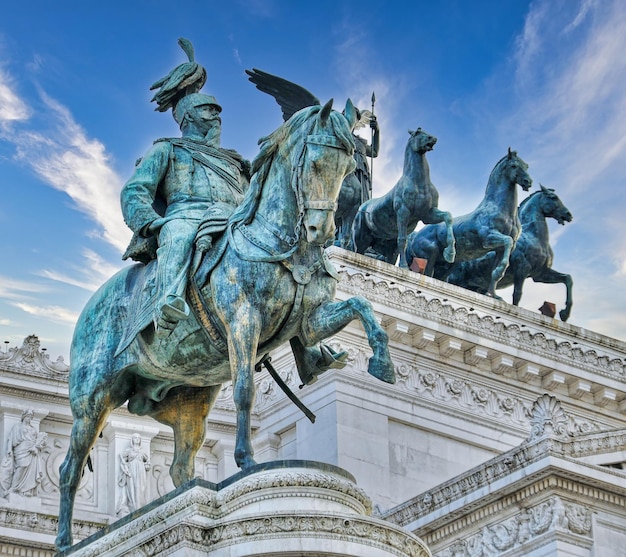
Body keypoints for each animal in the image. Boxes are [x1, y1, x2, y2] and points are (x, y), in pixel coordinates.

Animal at [54, 99, 394, 548]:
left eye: (348, 166)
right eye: (316, 162)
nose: (322, 231)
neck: (277, 242)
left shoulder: (310, 322)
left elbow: (362, 308)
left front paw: (382, 363)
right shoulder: (242, 321)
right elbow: (245, 389)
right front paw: (246, 459)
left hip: (190, 402)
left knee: (181, 468)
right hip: (93, 400)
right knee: (69, 469)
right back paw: (64, 541)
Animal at [346, 128, 454, 268]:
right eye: (417, 133)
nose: (433, 138)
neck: (419, 182)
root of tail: (362, 206)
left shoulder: (427, 215)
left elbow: (448, 216)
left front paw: (450, 253)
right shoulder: (403, 212)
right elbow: (402, 240)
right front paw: (403, 266)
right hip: (360, 238)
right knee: (357, 252)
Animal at [404, 147, 532, 296]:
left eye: (526, 166)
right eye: (514, 166)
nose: (528, 181)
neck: (503, 212)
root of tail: (415, 235)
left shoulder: (501, 250)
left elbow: (496, 272)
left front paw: (492, 295)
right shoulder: (488, 238)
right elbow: (508, 241)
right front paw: (500, 271)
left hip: (445, 266)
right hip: (429, 254)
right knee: (427, 272)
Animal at [446, 185, 572, 320]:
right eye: (553, 197)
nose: (568, 214)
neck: (533, 236)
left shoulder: (540, 274)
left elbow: (567, 279)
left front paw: (564, 314)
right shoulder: (522, 270)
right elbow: (517, 295)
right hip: (456, 281)